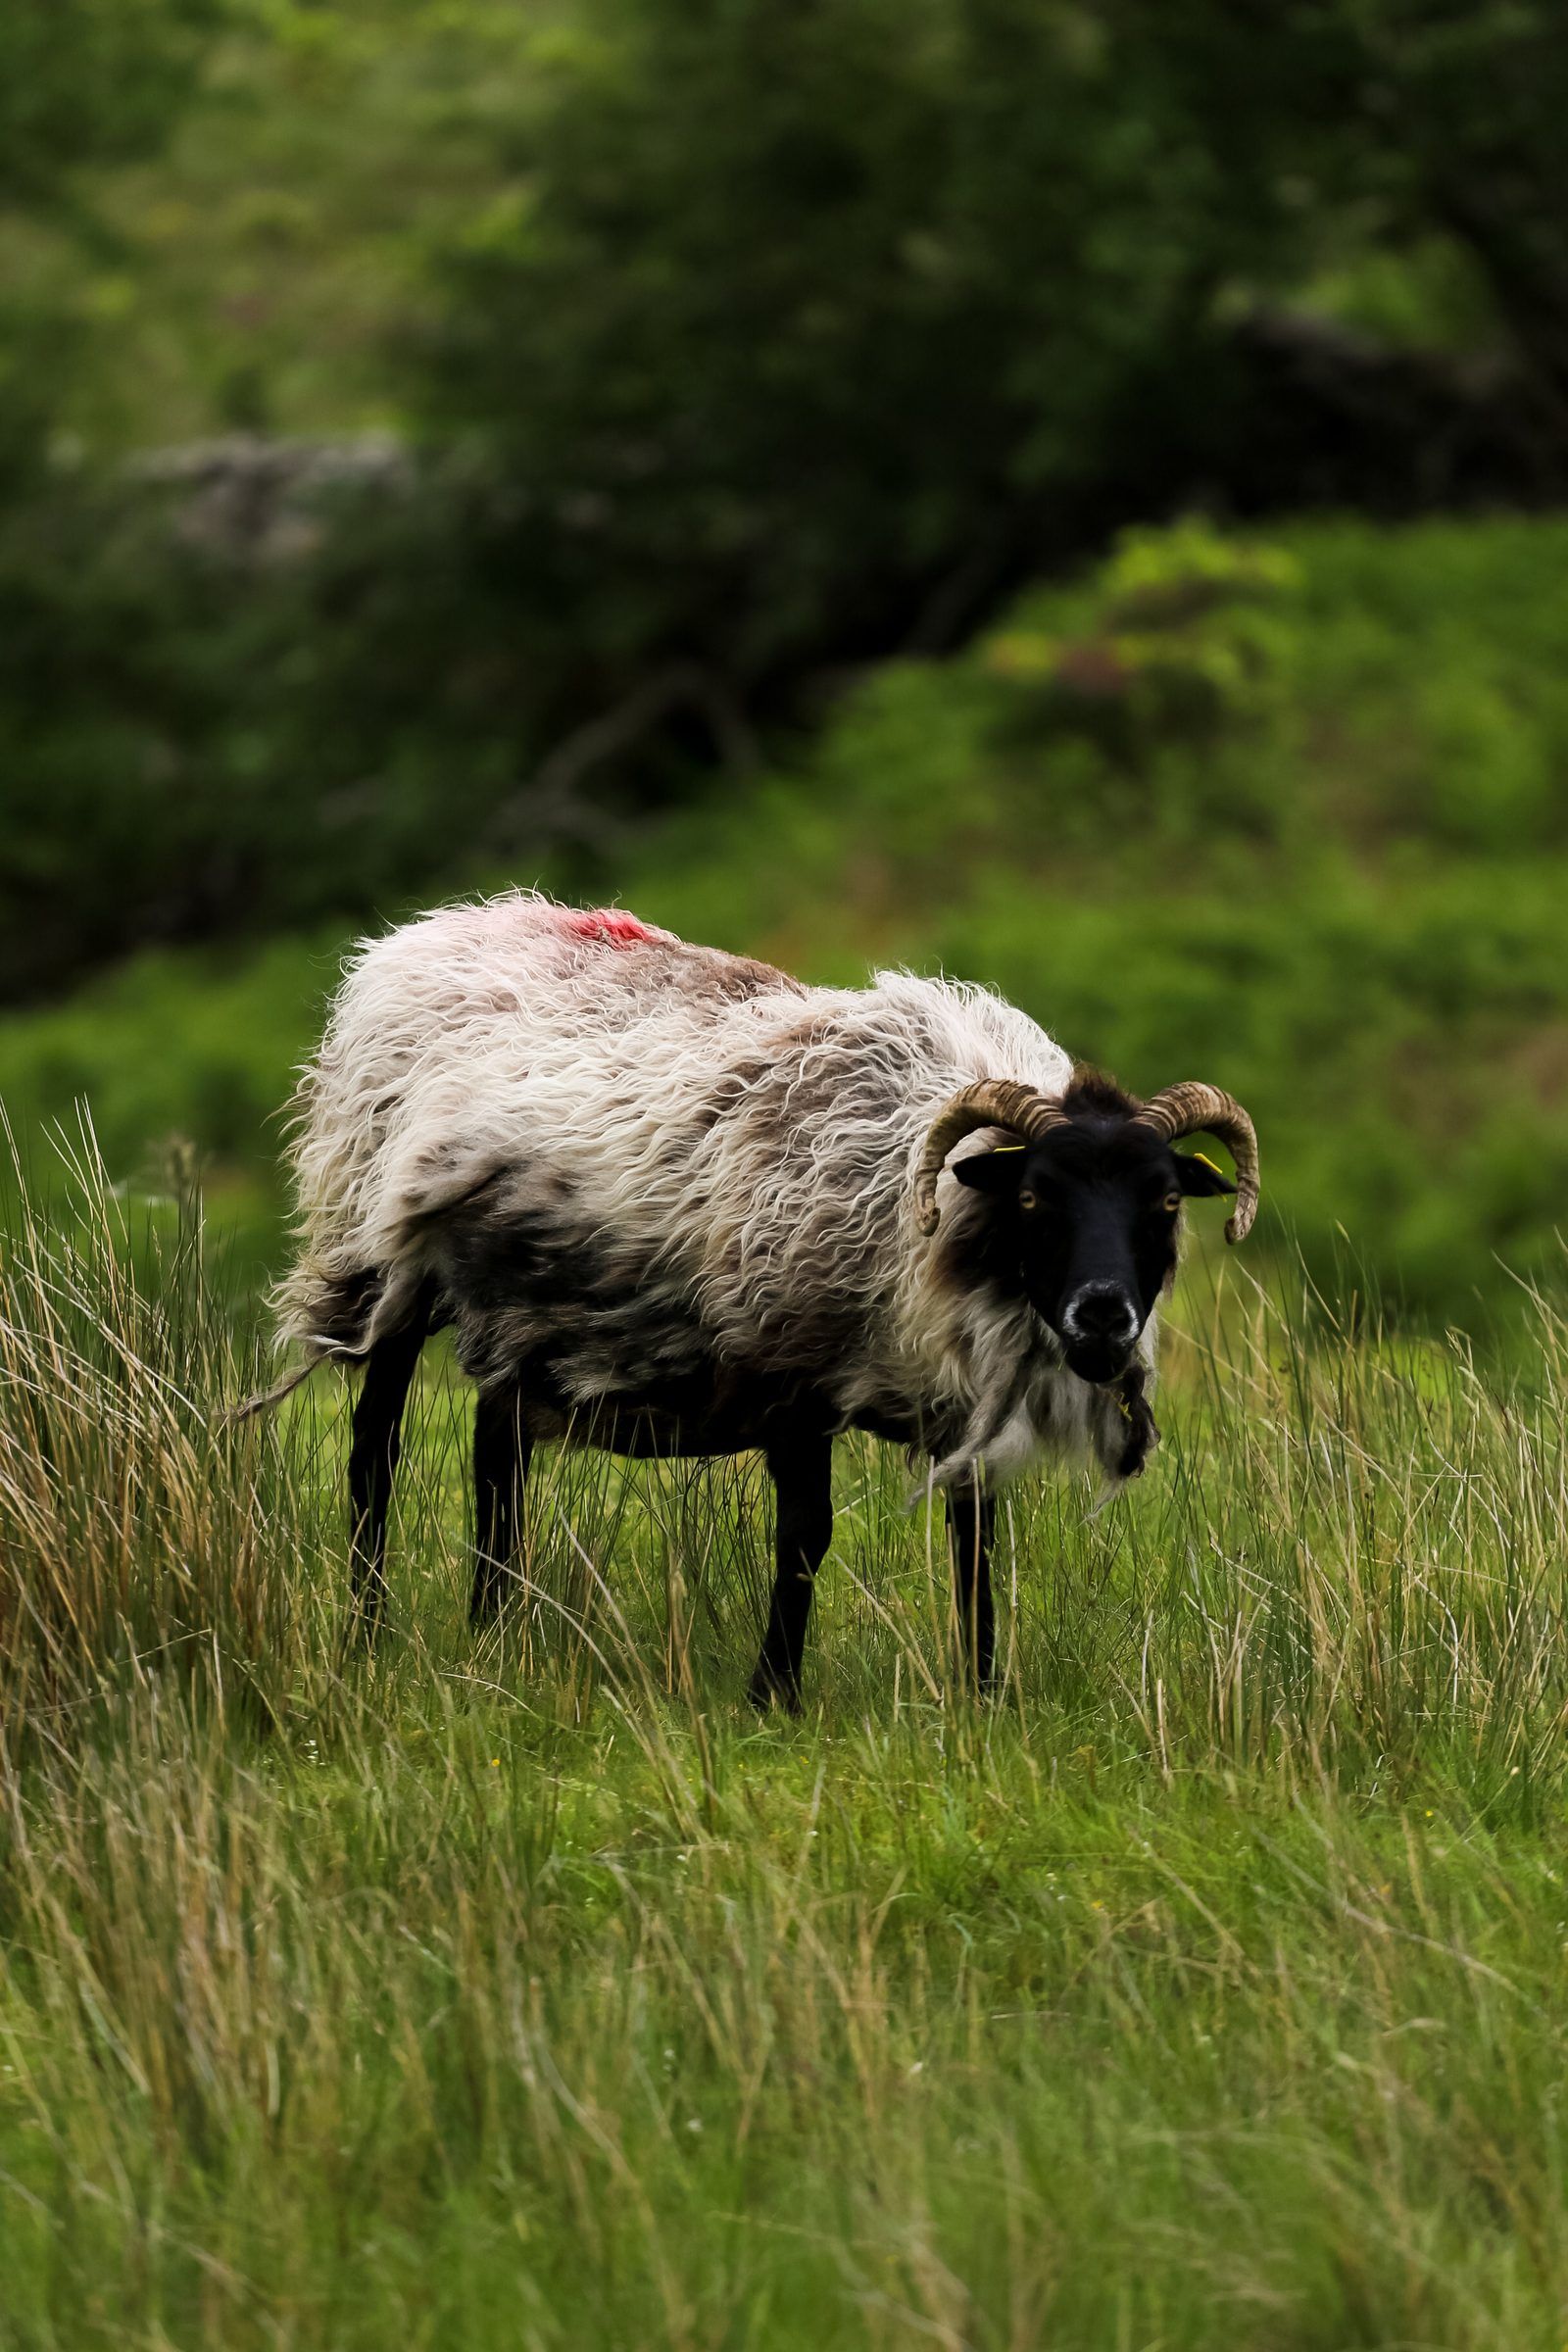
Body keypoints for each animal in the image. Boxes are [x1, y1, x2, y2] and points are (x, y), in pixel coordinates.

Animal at [265, 890, 1259, 1703]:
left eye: (1167, 1201)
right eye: (1033, 1199)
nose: (1103, 1315)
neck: (928, 1213)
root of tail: (430, 931)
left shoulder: (961, 1399)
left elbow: (975, 1543)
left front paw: (983, 1695)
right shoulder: (793, 1375)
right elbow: (806, 1538)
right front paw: (771, 1693)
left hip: (521, 1313)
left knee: (494, 1454)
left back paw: (492, 1631)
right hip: (382, 1259)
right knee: (375, 1449)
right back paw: (369, 1631)